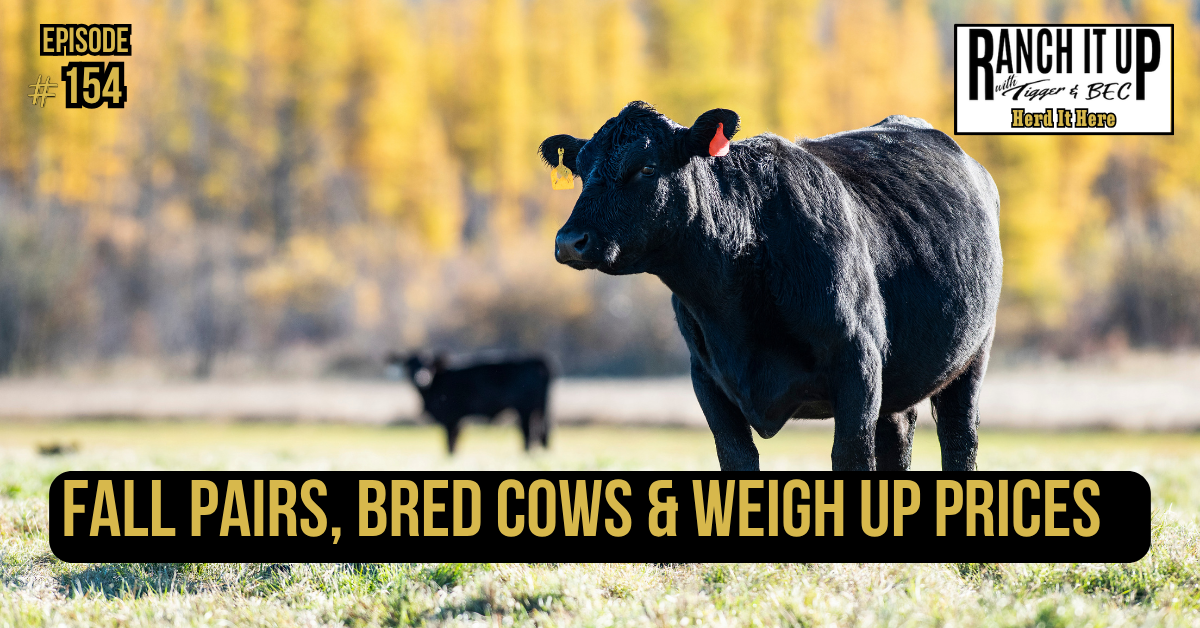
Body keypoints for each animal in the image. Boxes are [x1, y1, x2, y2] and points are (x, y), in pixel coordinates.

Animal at [390, 353, 552, 454]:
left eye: (429, 364)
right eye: (409, 365)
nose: (421, 377)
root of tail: (537, 360)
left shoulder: (450, 418)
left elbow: (450, 444)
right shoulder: (458, 420)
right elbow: (453, 443)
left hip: (526, 410)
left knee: (529, 434)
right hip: (538, 411)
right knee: (539, 433)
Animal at [541, 101, 1002, 471]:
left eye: (646, 167)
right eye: (580, 171)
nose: (569, 241)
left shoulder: (858, 362)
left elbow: (850, 457)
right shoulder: (707, 378)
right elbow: (737, 458)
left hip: (971, 356)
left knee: (960, 437)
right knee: (899, 435)